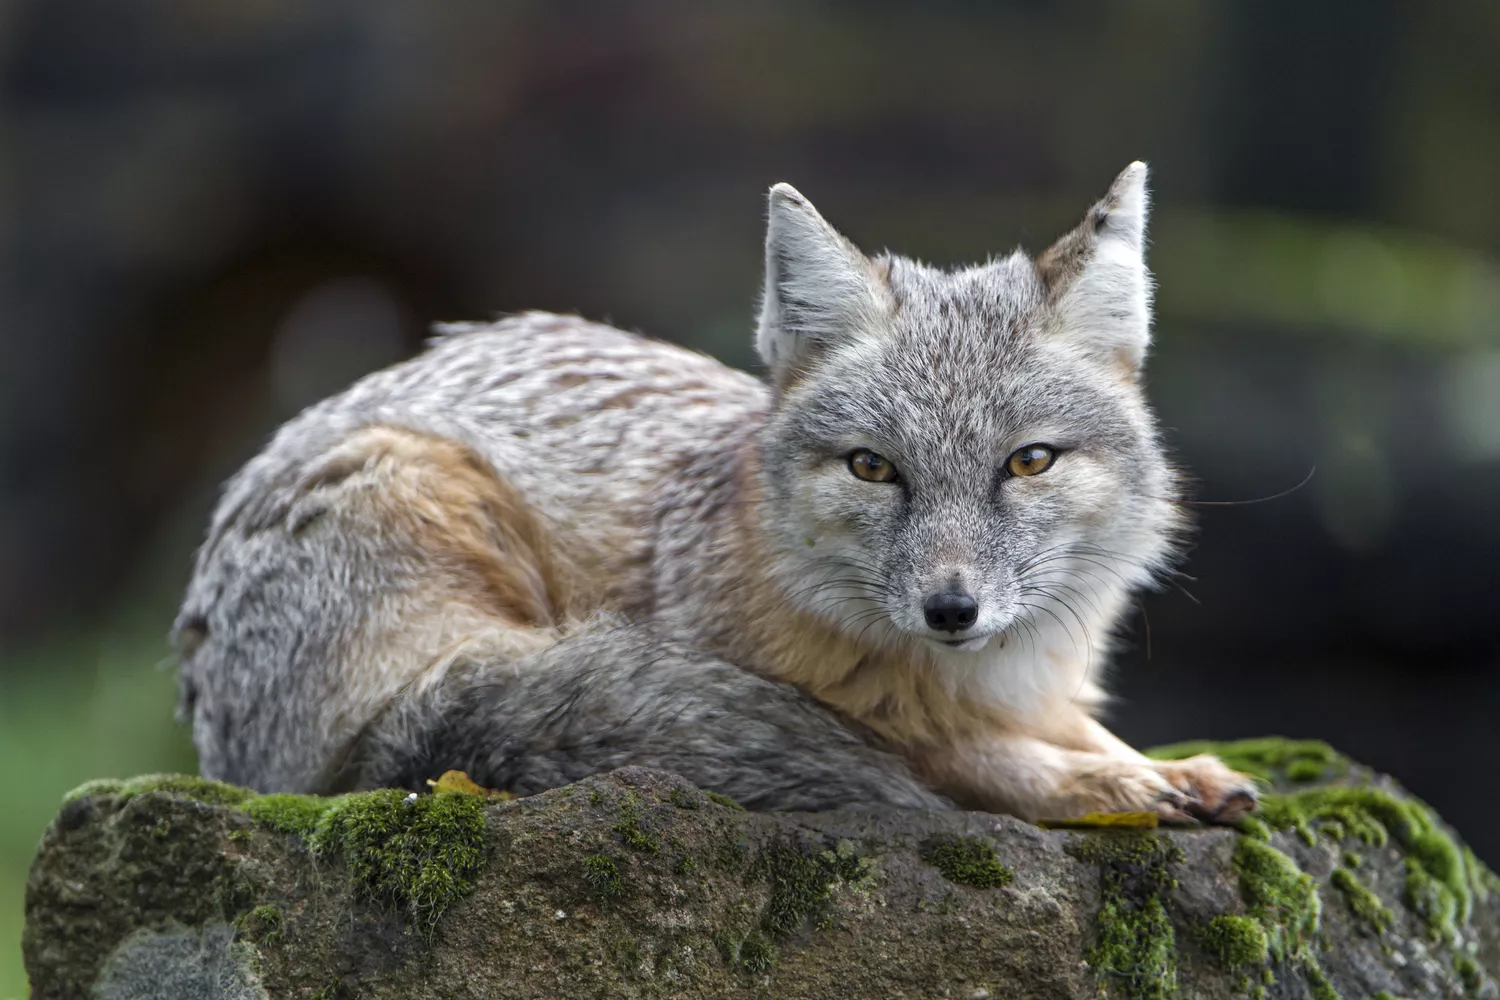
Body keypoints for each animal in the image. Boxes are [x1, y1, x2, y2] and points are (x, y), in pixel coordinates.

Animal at [170, 162, 1260, 821]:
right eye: (874, 467)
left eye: (1027, 462)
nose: (951, 608)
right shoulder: (874, 718)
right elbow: (965, 758)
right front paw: (1105, 783)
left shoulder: (1037, 690)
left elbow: (1074, 728)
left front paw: (1161, 764)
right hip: (431, 514)